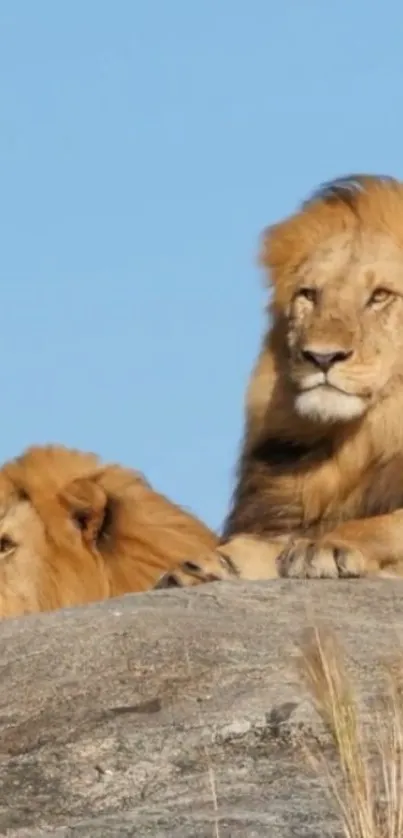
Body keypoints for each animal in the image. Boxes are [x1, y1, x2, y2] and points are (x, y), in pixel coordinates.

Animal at [157, 171, 403, 592]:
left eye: (381, 296)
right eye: (309, 295)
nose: (321, 357)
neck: (364, 442)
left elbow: (388, 524)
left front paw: (328, 545)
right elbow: (257, 545)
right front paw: (201, 566)